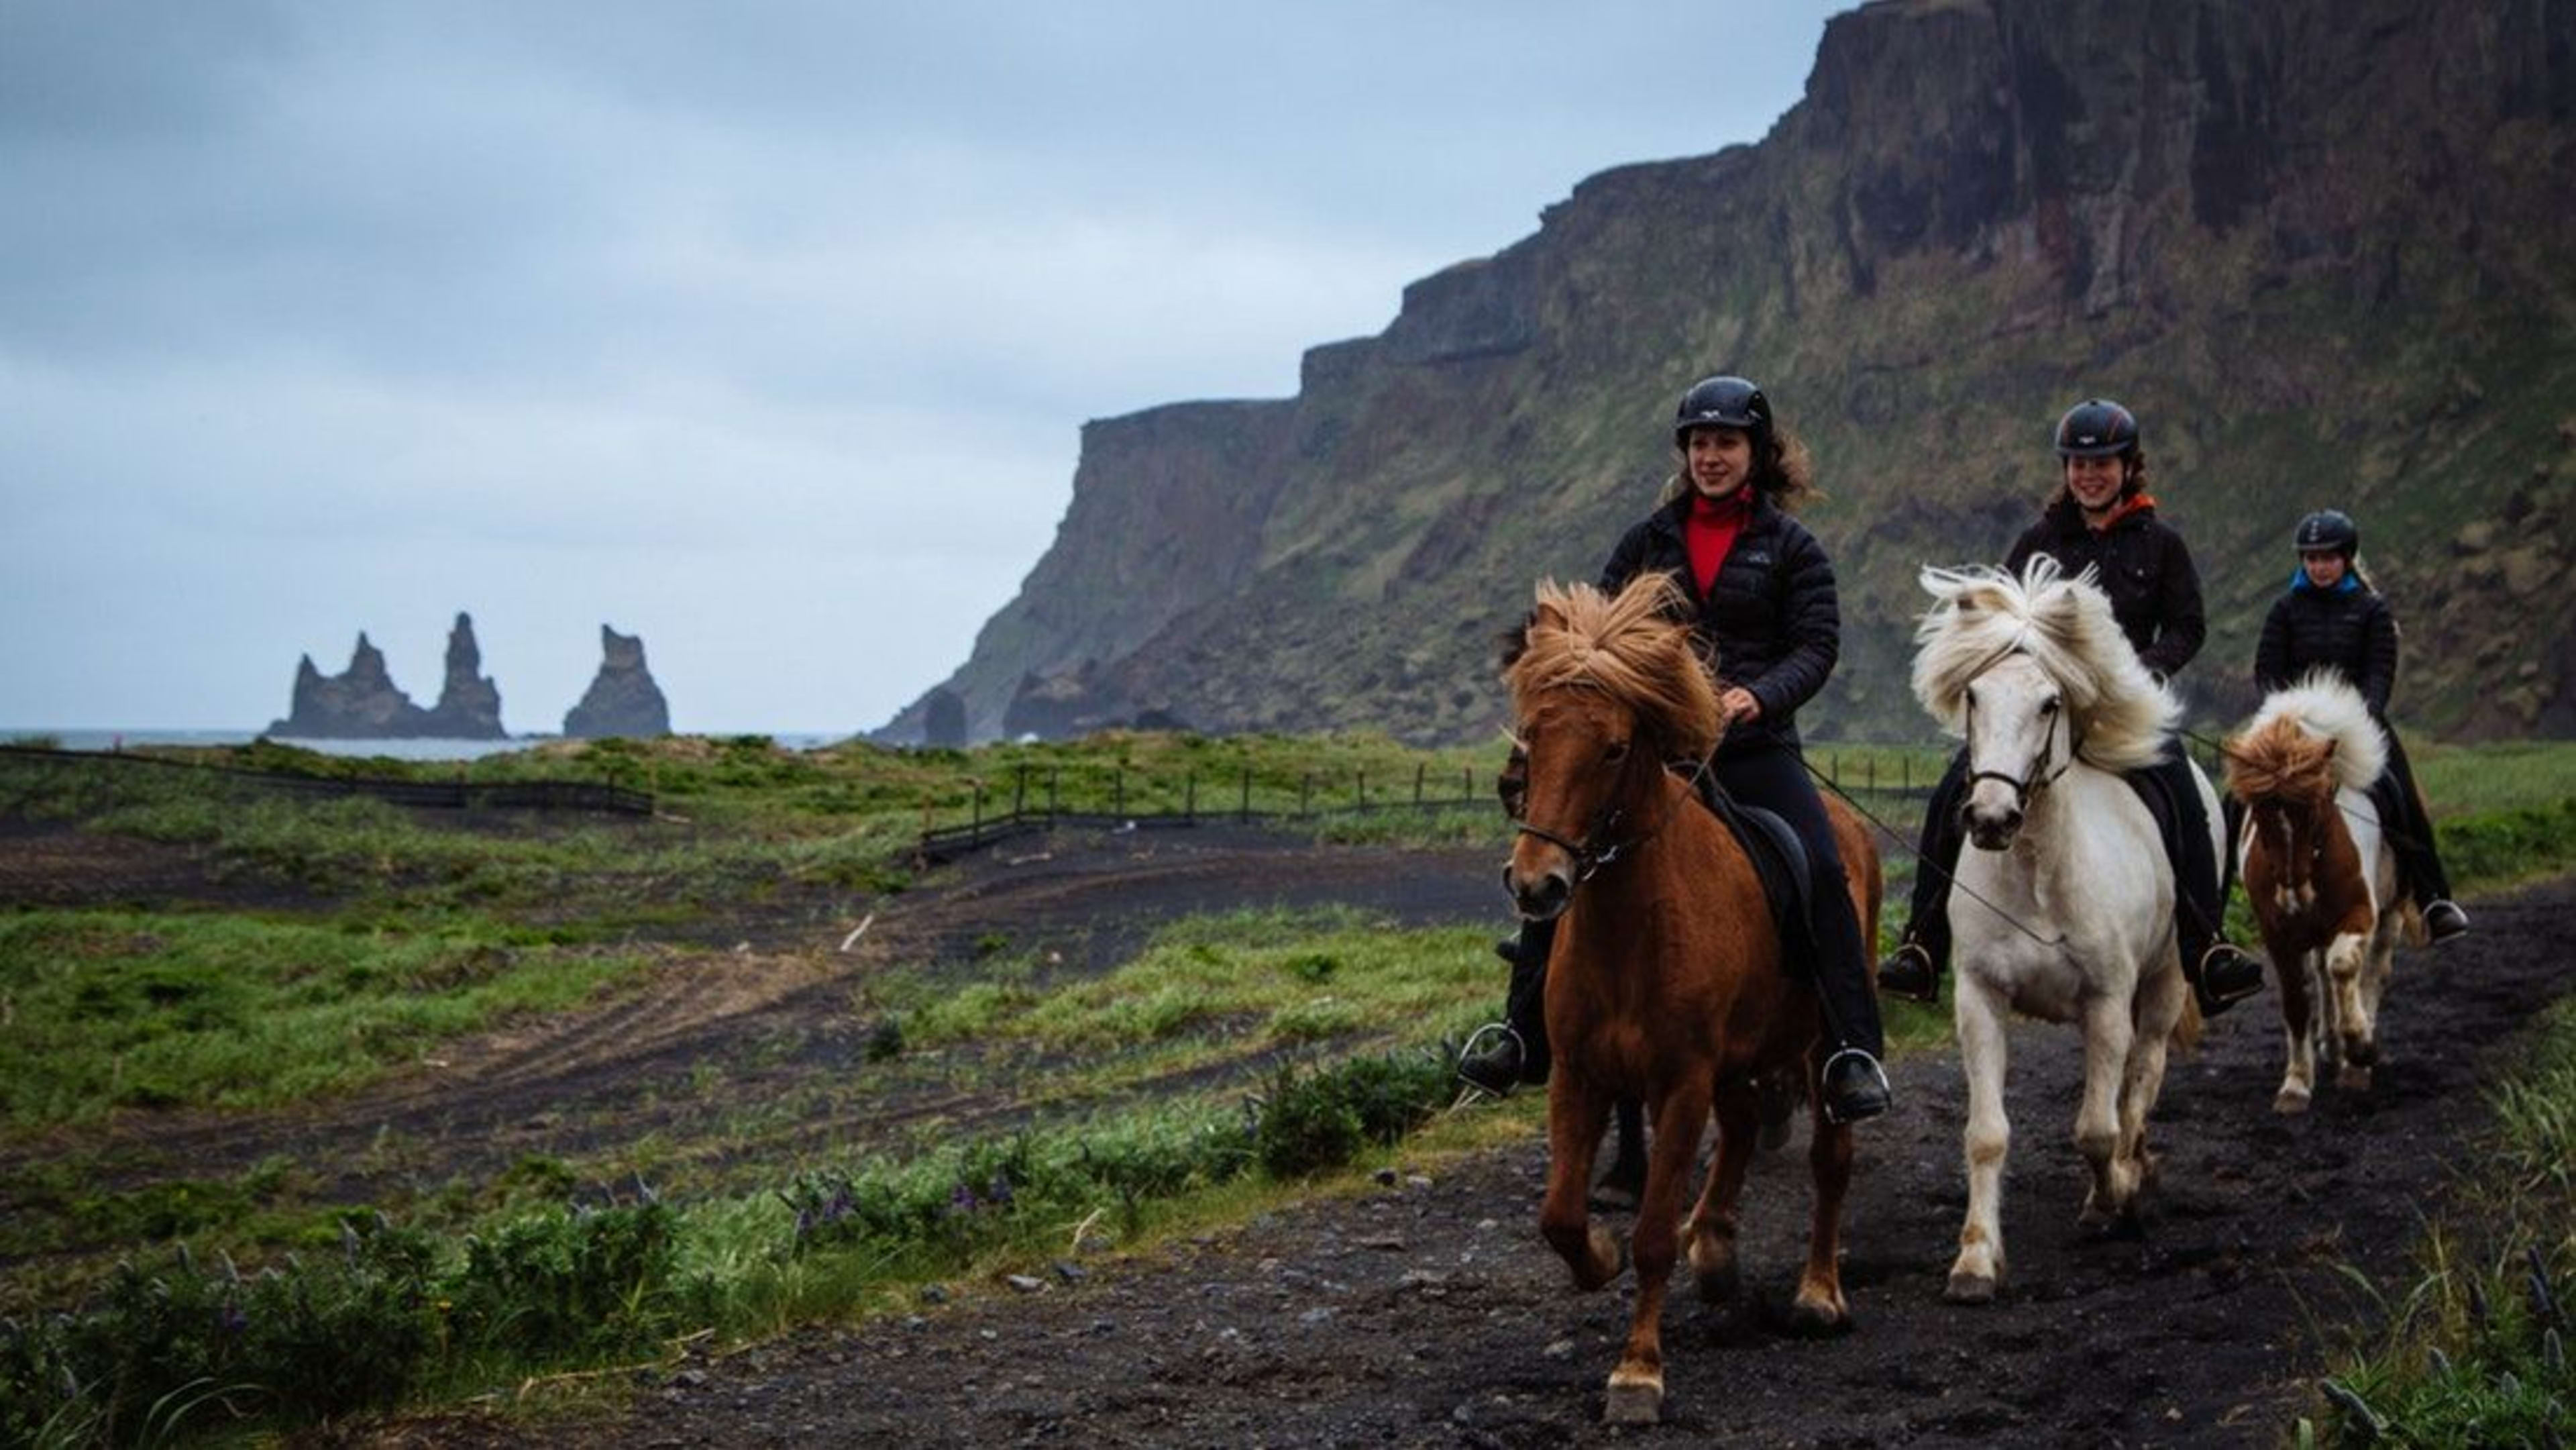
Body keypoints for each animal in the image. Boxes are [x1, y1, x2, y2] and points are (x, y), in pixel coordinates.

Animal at [1504, 574, 1885, 1421]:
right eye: (1534, 737)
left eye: (1614, 748)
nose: (1538, 884)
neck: (1632, 925)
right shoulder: (1578, 1074)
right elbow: (1560, 1216)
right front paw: (1600, 1255)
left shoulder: (1679, 1083)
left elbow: (1651, 1234)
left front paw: (1638, 1372)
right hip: (1738, 1058)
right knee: (1742, 1126)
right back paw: (1712, 1244)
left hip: (1820, 1048)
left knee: (1831, 1159)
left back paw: (1818, 1293)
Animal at [1906, 558, 2205, 1303]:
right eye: (1974, 696)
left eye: (2049, 703)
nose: (1990, 818)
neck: (2038, 870)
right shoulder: (1979, 997)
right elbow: (1986, 1134)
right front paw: (1976, 1261)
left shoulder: (2107, 1000)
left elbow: (2096, 1127)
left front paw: (2110, 1199)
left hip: (2164, 981)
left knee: (2143, 1073)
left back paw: (2133, 1169)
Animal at [2236, 674, 2411, 1117]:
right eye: (2259, 813)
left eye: (2315, 805)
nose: (2293, 894)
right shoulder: (2278, 934)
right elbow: (2298, 1002)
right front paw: (2296, 1085)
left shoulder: (2360, 912)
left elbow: (2345, 968)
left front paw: (2361, 1048)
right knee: (2322, 974)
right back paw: (2331, 1044)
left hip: (2390, 914)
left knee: (2370, 973)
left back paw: (2356, 1057)